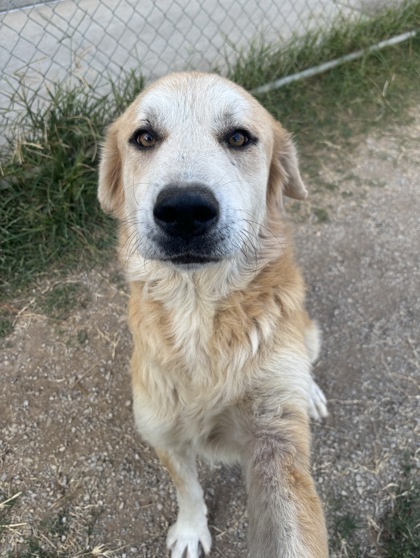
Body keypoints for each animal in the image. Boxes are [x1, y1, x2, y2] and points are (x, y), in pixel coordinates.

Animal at [97, 72, 328, 556]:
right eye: (144, 137)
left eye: (239, 138)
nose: (184, 210)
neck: (198, 310)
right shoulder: (161, 430)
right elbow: (188, 488)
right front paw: (190, 530)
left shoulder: (276, 438)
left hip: (307, 333)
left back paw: (312, 393)